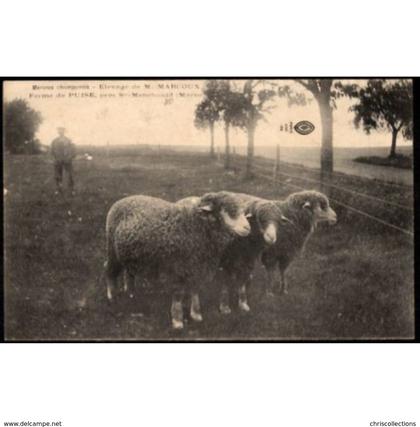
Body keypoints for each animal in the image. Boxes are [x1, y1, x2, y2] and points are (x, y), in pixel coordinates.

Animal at [104, 192, 251, 330]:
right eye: (229, 210)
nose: (248, 228)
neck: (195, 224)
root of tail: (124, 199)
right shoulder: (178, 269)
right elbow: (178, 295)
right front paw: (177, 320)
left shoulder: (197, 266)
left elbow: (195, 290)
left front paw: (196, 314)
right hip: (112, 249)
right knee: (110, 270)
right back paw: (112, 296)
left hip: (130, 253)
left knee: (129, 272)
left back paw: (131, 293)